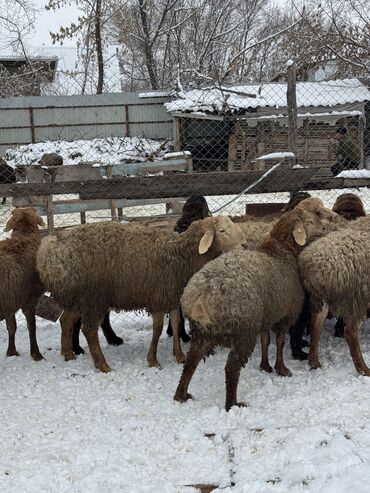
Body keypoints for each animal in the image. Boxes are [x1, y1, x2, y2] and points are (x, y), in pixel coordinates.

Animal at [0, 206, 46, 360]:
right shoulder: (29, 299)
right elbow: (31, 326)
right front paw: (36, 354)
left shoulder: (10, 300)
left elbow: (11, 326)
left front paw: (11, 352)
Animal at [36, 213, 246, 370]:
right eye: (222, 230)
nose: (245, 245)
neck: (180, 255)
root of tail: (47, 250)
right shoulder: (158, 298)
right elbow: (158, 329)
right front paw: (153, 360)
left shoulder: (171, 296)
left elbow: (176, 325)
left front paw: (179, 356)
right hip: (92, 297)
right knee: (89, 330)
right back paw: (102, 365)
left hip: (77, 298)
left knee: (66, 321)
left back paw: (68, 354)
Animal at [173, 198, 336, 410]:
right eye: (309, 221)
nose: (325, 227)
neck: (282, 250)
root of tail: (199, 299)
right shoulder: (286, 314)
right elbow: (280, 342)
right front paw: (281, 368)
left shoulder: (267, 314)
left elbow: (266, 340)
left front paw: (265, 366)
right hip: (243, 330)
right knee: (231, 367)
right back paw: (233, 404)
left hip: (203, 333)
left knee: (191, 362)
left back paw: (181, 395)